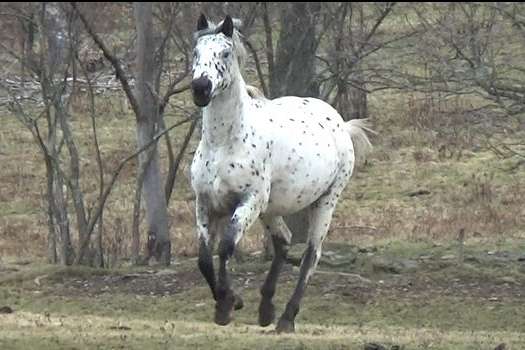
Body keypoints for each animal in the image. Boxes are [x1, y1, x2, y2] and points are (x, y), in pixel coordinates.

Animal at [188, 14, 372, 334]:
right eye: (196, 53)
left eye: (224, 53)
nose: (200, 87)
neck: (224, 143)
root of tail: (341, 123)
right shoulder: (206, 204)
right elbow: (204, 259)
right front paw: (230, 302)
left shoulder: (248, 201)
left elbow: (225, 248)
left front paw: (227, 305)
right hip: (271, 209)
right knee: (284, 241)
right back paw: (266, 310)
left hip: (324, 202)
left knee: (311, 256)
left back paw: (286, 317)